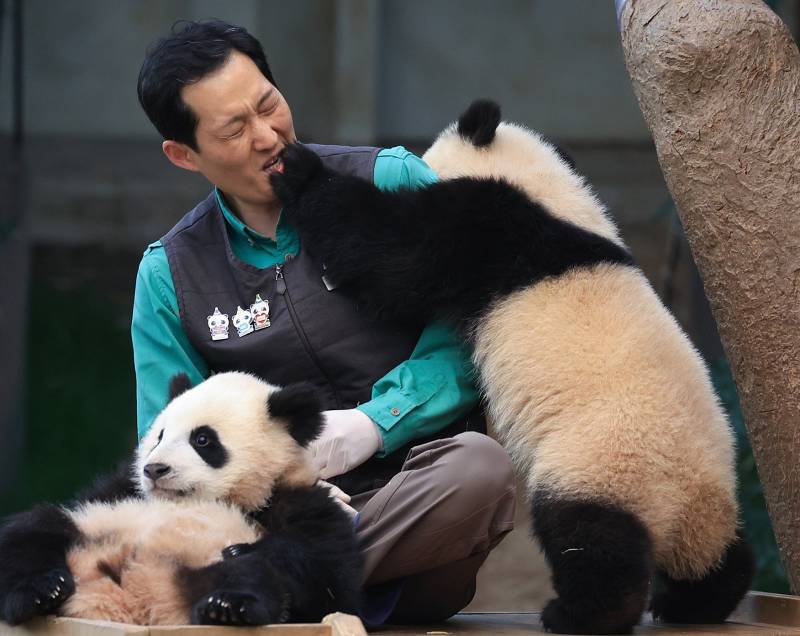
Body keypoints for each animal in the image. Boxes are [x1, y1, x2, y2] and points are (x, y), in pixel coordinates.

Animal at [0, 372, 362, 628]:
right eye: (160, 435)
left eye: (203, 439)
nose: (154, 469)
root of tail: (132, 603)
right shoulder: (118, 489)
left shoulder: (297, 500)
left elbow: (331, 585)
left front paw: (250, 552)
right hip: (88, 528)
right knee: (35, 532)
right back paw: (40, 592)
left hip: (205, 559)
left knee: (252, 573)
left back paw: (226, 607)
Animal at [268, 100, 756, 636]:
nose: (401, 161)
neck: (549, 193)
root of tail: (680, 502)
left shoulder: (484, 230)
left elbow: (386, 251)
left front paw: (300, 170)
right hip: (707, 497)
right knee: (716, 554)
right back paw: (699, 600)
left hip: (602, 463)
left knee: (591, 540)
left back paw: (581, 613)